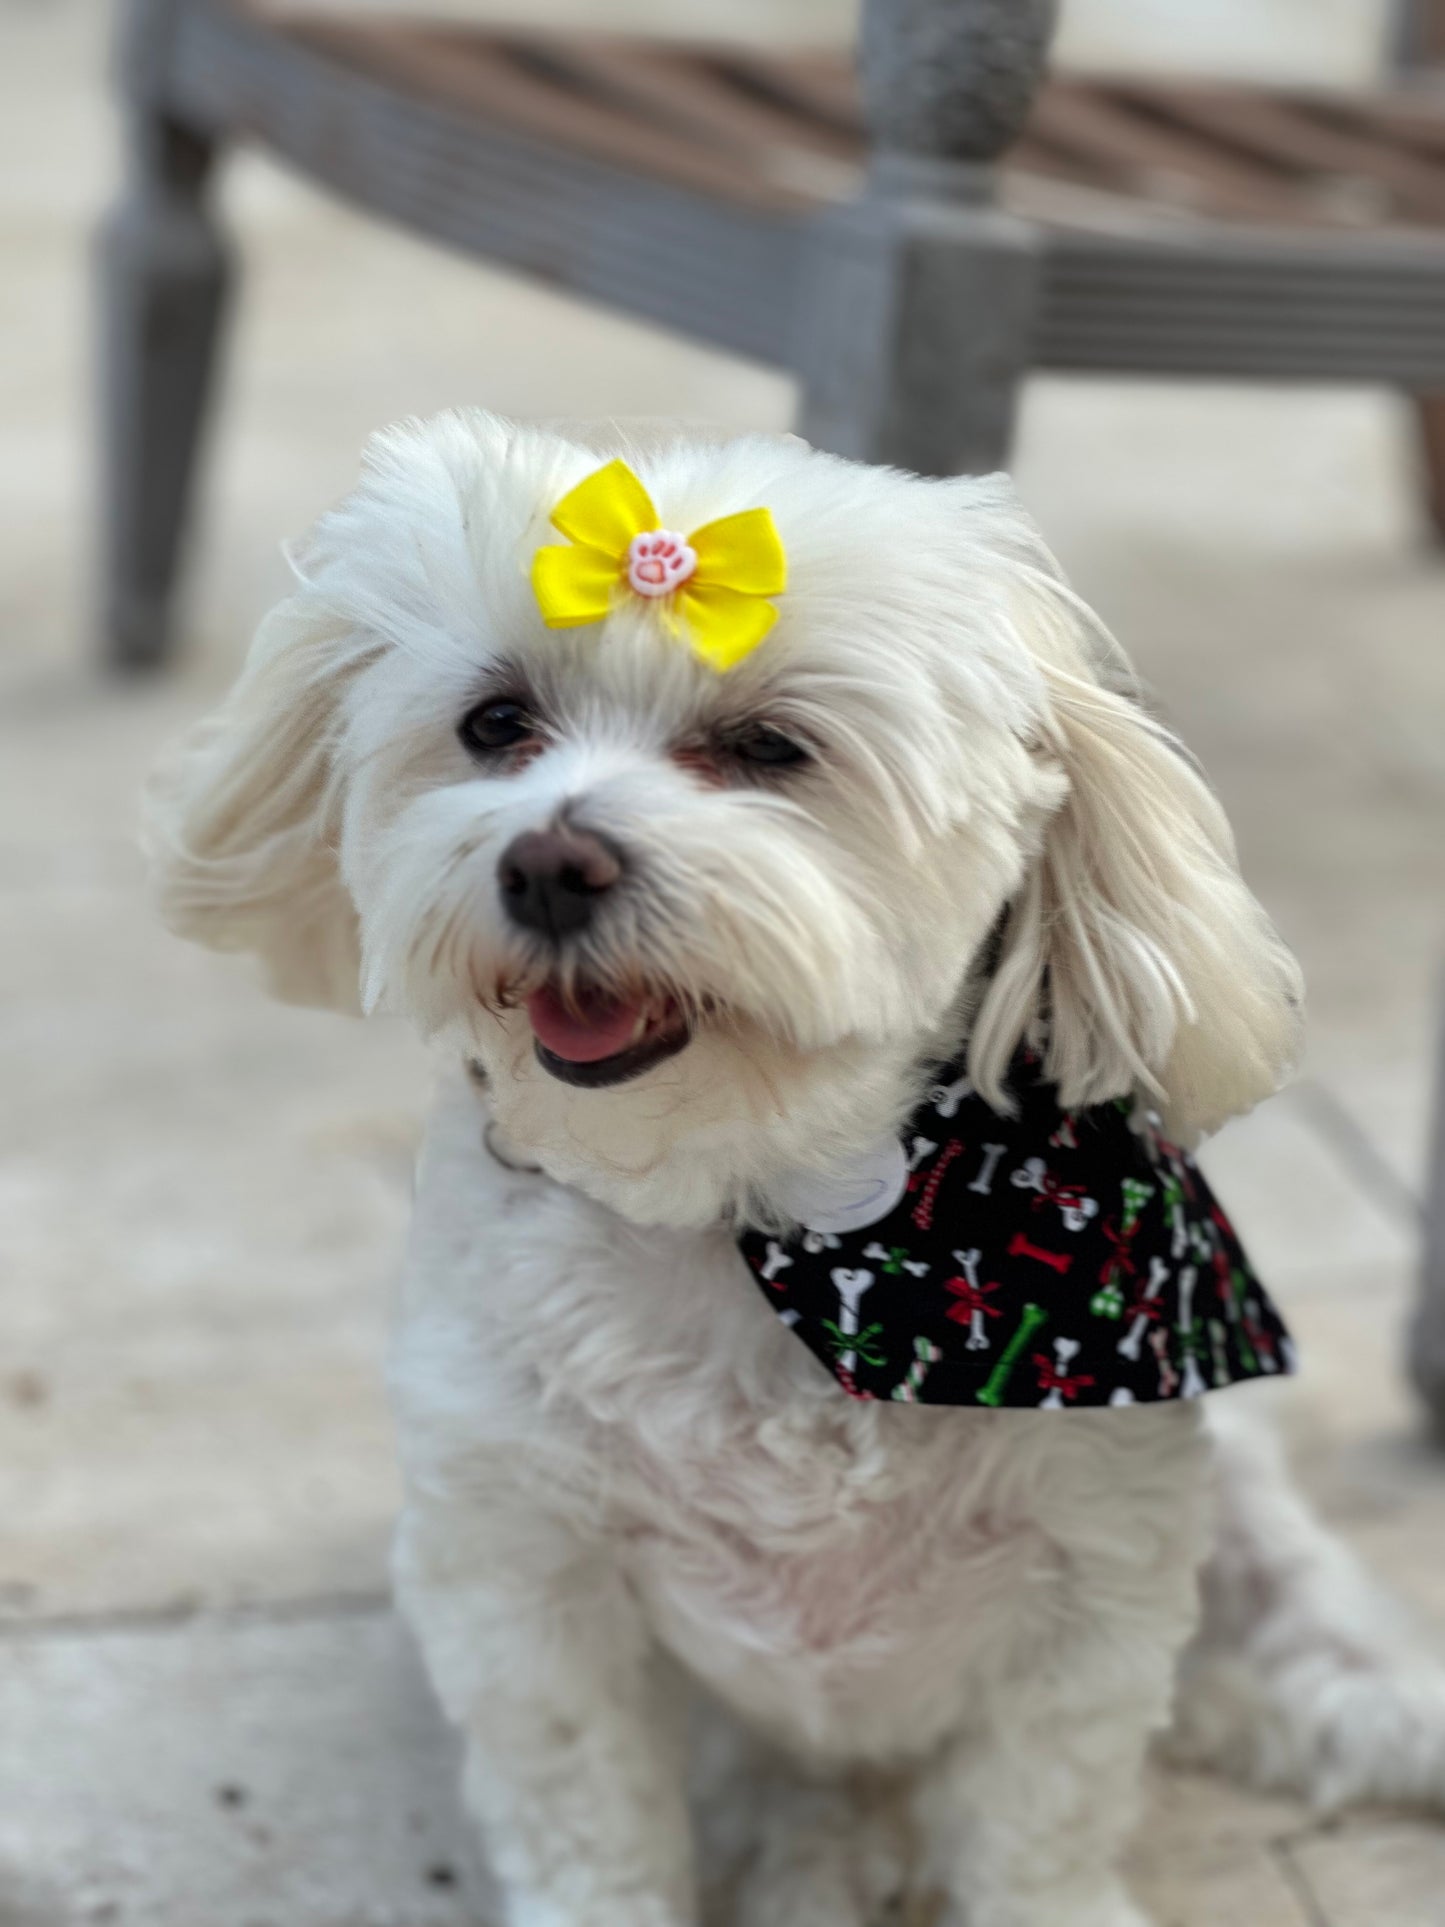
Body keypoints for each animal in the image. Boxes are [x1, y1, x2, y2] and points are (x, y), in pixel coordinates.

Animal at [147, 418, 1445, 1927]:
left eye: (770, 746)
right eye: (495, 723)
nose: (548, 860)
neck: (767, 1213)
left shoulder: (1092, 1576)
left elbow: (1040, 1814)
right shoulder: (527, 1577)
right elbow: (584, 1811)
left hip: (1235, 1519)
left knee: (1311, 1627)